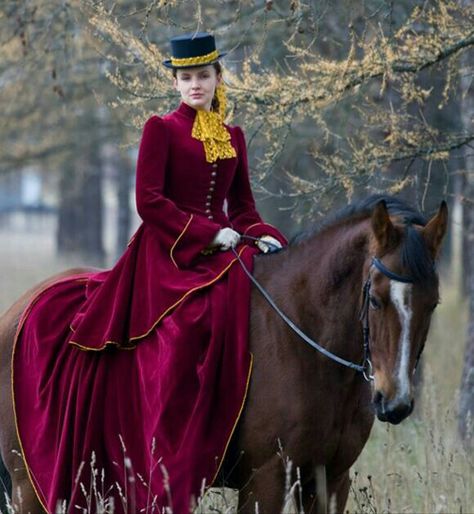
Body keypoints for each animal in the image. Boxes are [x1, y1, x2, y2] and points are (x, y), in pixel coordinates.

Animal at [0, 194, 446, 510]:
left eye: (433, 304)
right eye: (376, 299)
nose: (395, 402)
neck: (306, 344)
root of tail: (19, 309)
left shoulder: (330, 480)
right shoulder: (265, 479)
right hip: (31, 487)